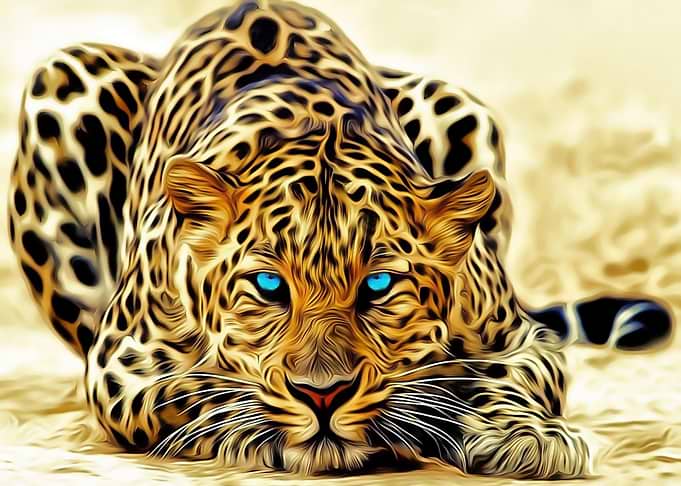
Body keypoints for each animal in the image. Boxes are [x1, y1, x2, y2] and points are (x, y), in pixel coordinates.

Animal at [7, 0, 673, 478]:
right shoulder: (121, 361)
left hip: (458, 104)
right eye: (268, 285)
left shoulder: (521, 339)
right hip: (62, 79)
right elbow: (198, 391)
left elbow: (498, 379)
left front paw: (525, 436)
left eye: (378, 285)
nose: (321, 396)